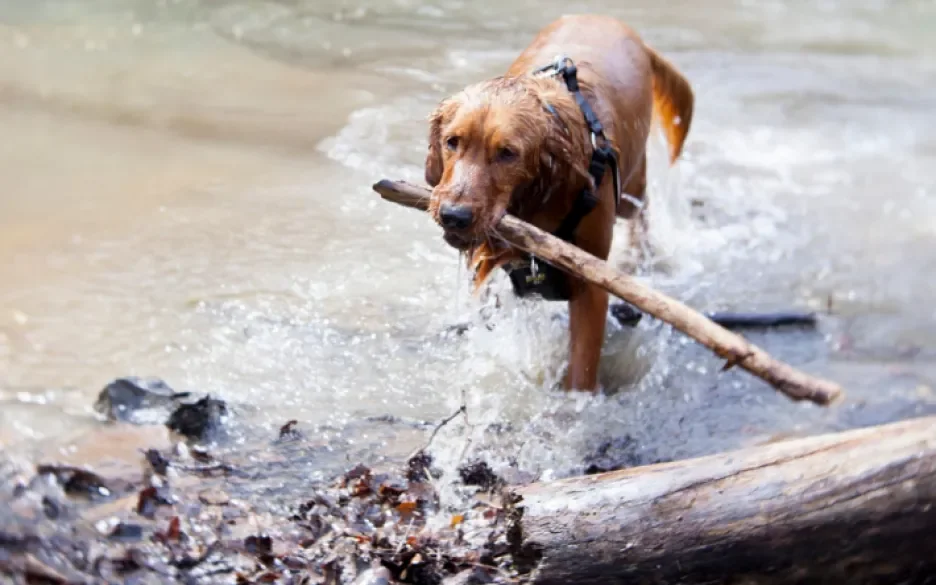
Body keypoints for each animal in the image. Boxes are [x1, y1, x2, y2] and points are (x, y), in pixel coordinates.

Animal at [424, 13, 696, 390]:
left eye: (507, 153)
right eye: (452, 142)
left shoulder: (591, 284)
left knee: (642, 210)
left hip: (633, 187)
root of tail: (612, 20)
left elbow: (582, 369)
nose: (454, 215)